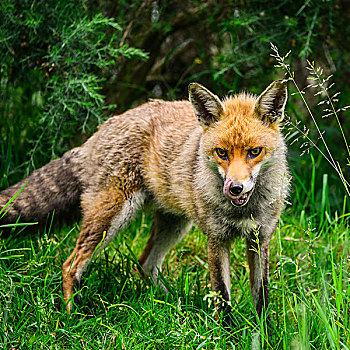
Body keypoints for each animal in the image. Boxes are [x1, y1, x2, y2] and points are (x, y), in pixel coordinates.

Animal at [0, 80, 290, 330]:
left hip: (175, 224)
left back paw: (173, 306)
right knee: (71, 265)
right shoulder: (216, 239)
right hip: (111, 216)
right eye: (222, 153)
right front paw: (227, 335)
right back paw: (73, 318)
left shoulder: (261, 238)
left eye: (254, 152)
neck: (244, 210)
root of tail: (104, 126)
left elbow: (262, 295)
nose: (235, 188)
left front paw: (265, 334)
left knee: (144, 264)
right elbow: (222, 294)